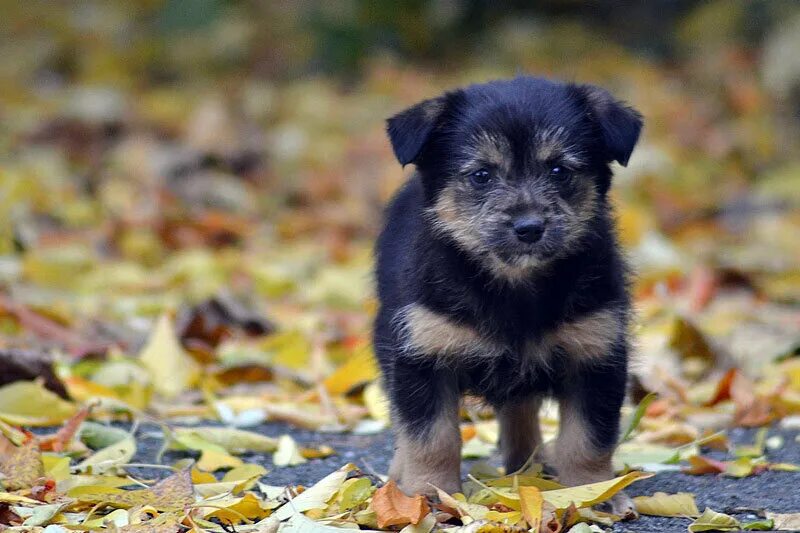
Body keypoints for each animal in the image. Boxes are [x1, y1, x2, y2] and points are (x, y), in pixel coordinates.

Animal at [376, 76, 644, 516]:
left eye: (559, 169)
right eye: (481, 175)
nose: (529, 228)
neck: (515, 285)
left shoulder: (596, 355)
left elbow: (588, 439)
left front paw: (595, 493)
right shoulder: (422, 355)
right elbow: (430, 436)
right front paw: (430, 495)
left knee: (521, 411)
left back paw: (530, 467)